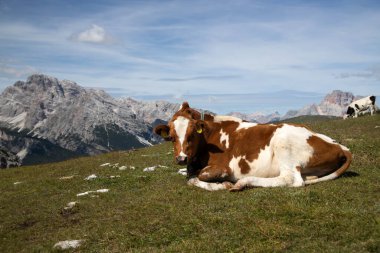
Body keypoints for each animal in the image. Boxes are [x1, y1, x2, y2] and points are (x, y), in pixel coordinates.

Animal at [154, 102, 354, 191]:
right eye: (171, 137)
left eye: (192, 134)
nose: (181, 158)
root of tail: (340, 146)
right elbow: (190, 176)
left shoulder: (223, 166)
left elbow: (195, 178)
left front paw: (222, 183)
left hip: (282, 141)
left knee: (291, 179)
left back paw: (243, 182)